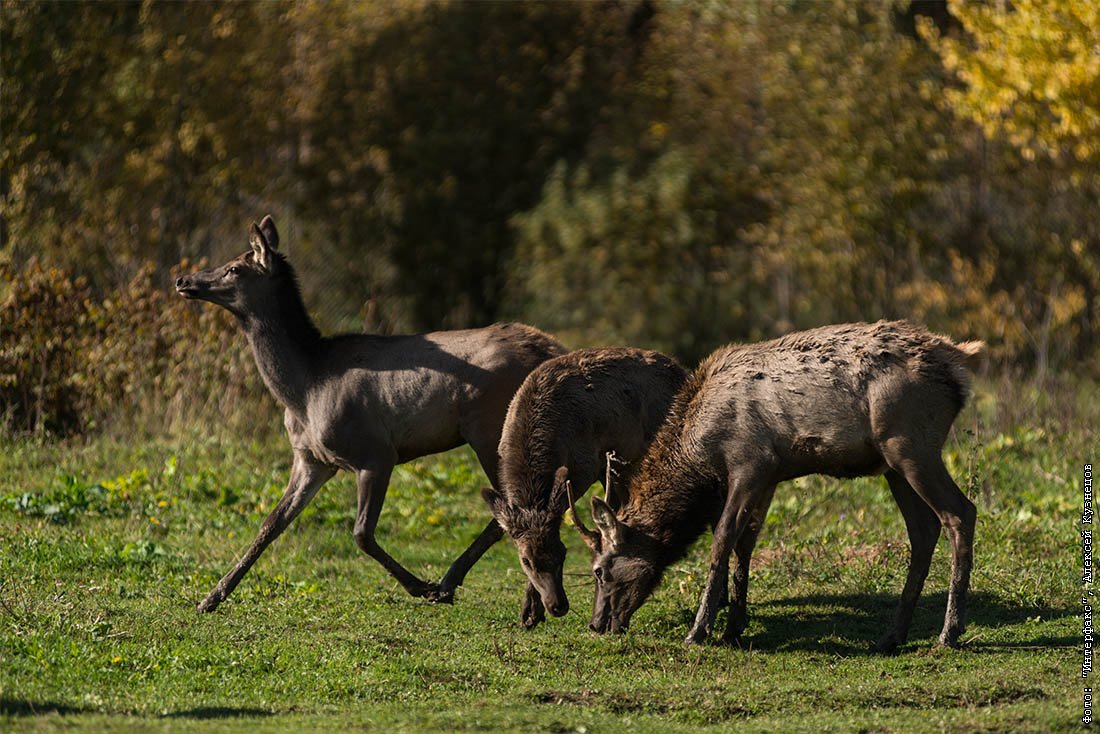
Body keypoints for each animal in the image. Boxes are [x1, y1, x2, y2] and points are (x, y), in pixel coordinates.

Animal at [177, 215, 567, 611]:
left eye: (234, 268)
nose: (184, 280)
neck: (303, 389)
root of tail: (552, 348)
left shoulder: (375, 452)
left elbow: (361, 533)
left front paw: (420, 586)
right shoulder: (311, 460)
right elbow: (271, 524)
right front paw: (212, 596)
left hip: (492, 428)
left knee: (513, 505)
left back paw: (453, 582)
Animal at [484, 347, 682, 629]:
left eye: (563, 553)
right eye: (526, 561)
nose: (558, 606)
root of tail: (682, 370)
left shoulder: (584, 467)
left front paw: (531, 612)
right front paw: (529, 613)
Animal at [572, 321, 985, 655]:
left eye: (599, 570)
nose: (596, 624)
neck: (700, 451)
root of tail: (957, 359)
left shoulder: (751, 462)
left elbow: (723, 537)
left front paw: (700, 630)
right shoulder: (769, 476)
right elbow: (745, 543)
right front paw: (733, 628)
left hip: (911, 444)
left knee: (960, 512)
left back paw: (948, 633)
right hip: (893, 465)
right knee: (923, 529)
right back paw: (891, 636)